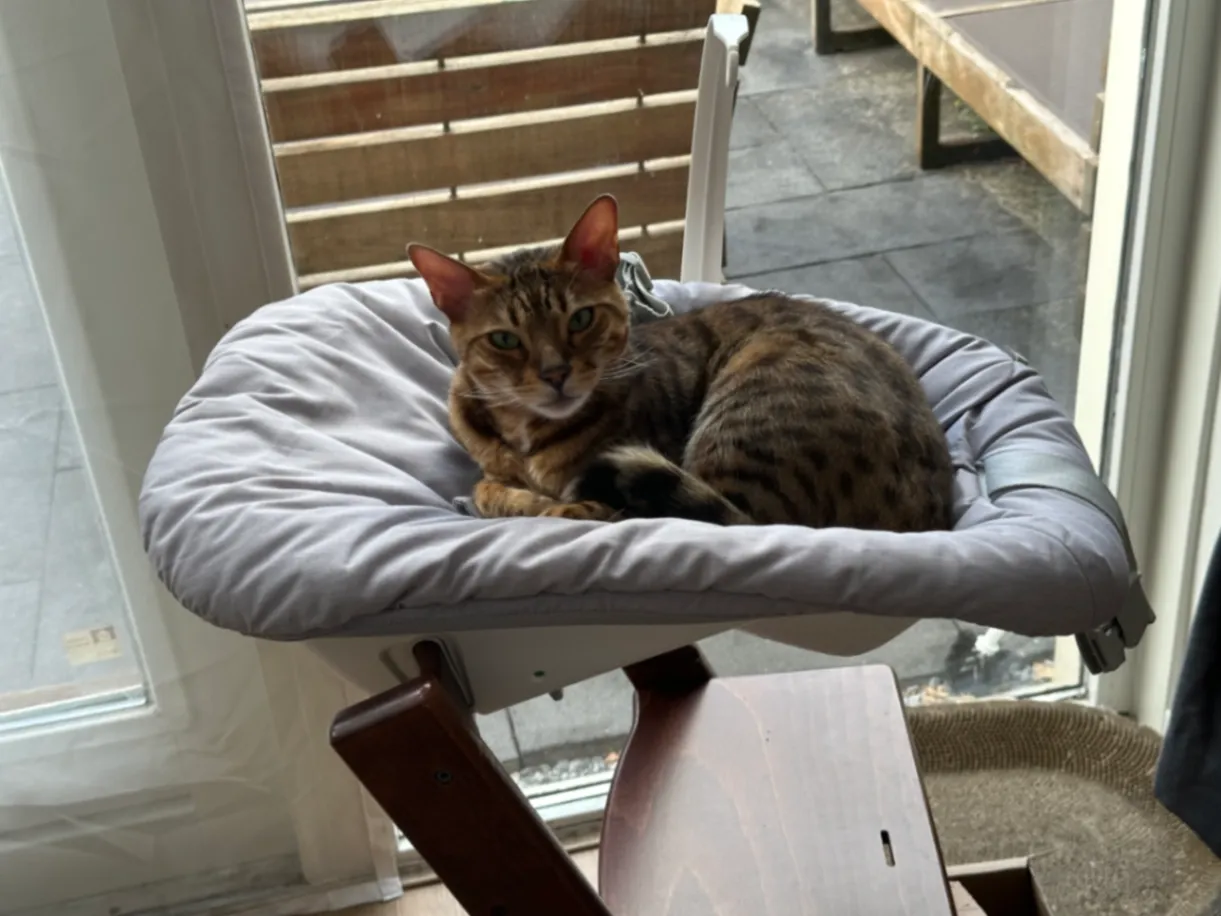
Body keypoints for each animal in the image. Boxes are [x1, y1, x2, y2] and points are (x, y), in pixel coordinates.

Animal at [407, 194, 953, 531]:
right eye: (504, 339)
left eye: (581, 318)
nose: (556, 374)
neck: (528, 440)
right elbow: (490, 485)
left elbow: (524, 499)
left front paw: (550, 505)